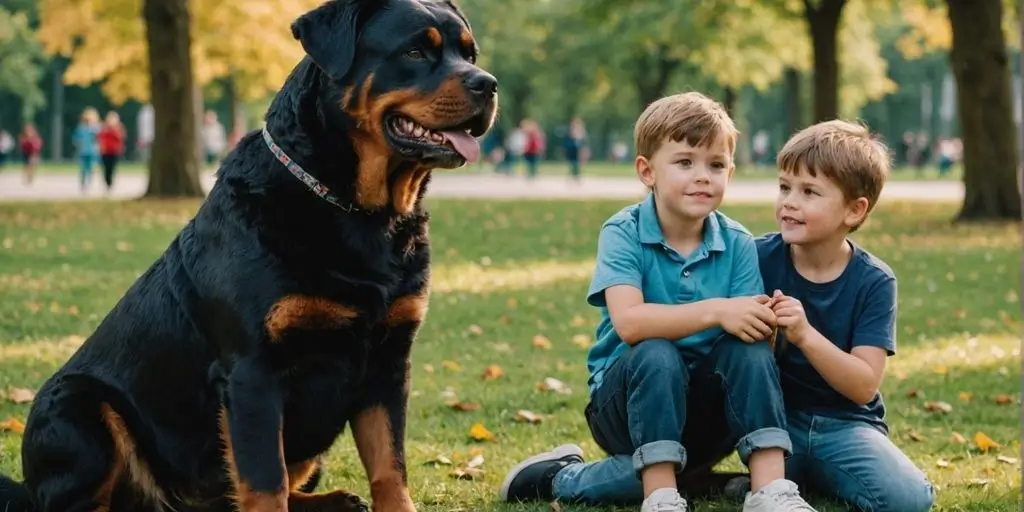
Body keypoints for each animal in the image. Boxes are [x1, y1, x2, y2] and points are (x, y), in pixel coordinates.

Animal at [0, 1, 495, 512]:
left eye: (469, 54)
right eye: (416, 51)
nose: (487, 83)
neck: (357, 212)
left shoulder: (390, 363)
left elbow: (389, 466)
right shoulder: (253, 373)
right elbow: (264, 479)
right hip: (79, 408)